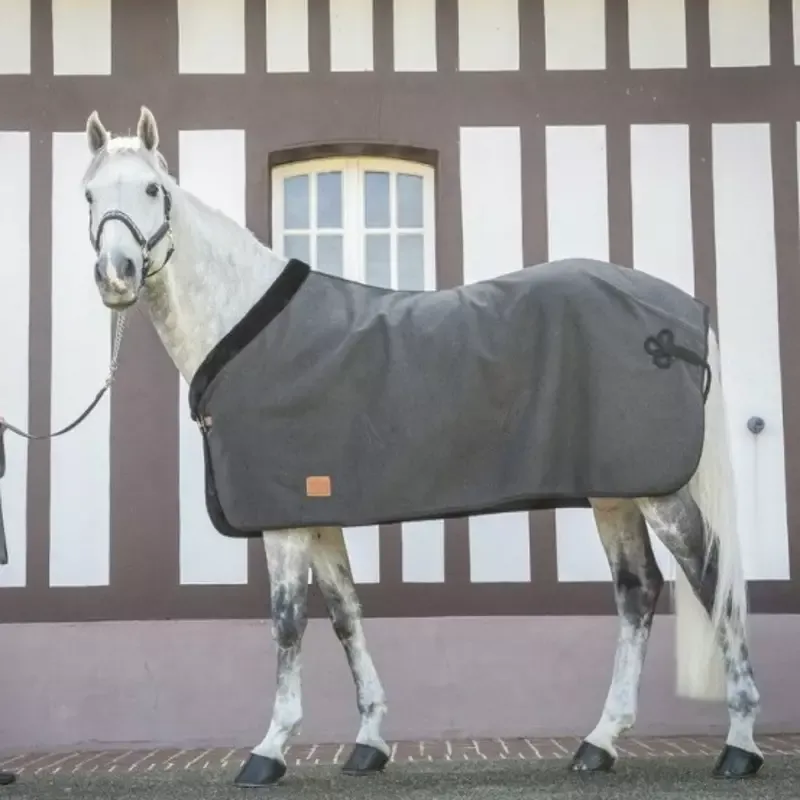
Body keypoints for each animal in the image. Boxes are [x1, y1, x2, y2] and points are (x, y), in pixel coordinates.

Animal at [78, 105, 763, 786]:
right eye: (88, 194)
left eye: (153, 190)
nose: (116, 276)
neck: (243, 326)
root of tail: (684, 316)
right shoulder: (318, 513)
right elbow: (347, 616)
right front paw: (369, 743)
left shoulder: (285, 522)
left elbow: (288, 624)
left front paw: (269, 749)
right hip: (615, 492)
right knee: (637, 590)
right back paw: (600, 742)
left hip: (658, 492)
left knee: (711, 578)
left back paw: (740, 744)